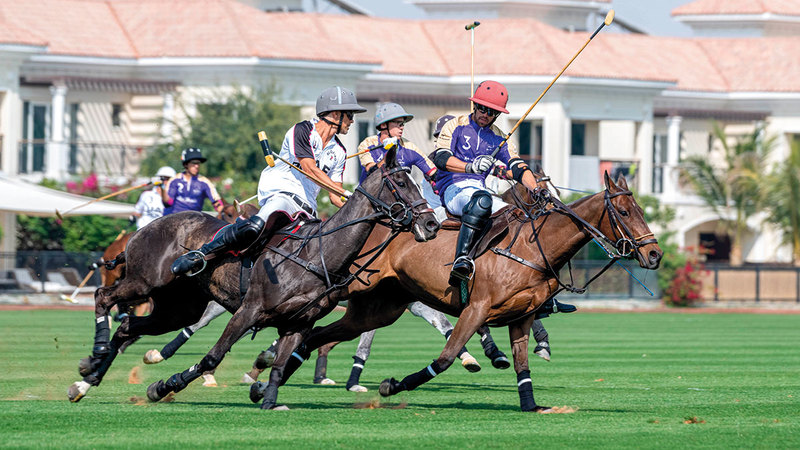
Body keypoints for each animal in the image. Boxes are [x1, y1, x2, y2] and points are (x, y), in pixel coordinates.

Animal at [67, 147, 439, 404]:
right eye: (400, 183)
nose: (432, 224)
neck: (316, 253)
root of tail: (142, 228)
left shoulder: (297, 324)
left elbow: (279, 364)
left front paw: (269, 399)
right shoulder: (249, 311)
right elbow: (212, 357)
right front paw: (165, 385)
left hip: (177, 308)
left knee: (129, 326)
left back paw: (87, 380)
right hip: (145, 281)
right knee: (103, 298)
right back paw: (96, 351)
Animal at [260, 172, 661, 412]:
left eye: (641, 208)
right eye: (625, 211)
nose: (655, 254)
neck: (534, 247)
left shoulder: (521, 317)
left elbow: (523, 364)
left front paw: (531, 404)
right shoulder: (476, 309)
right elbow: (445, 359)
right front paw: (393, 385)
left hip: (378, 309)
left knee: (318, 336)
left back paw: (267, 381)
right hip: (347, 291)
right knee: (308, 327)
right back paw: (267, 364)